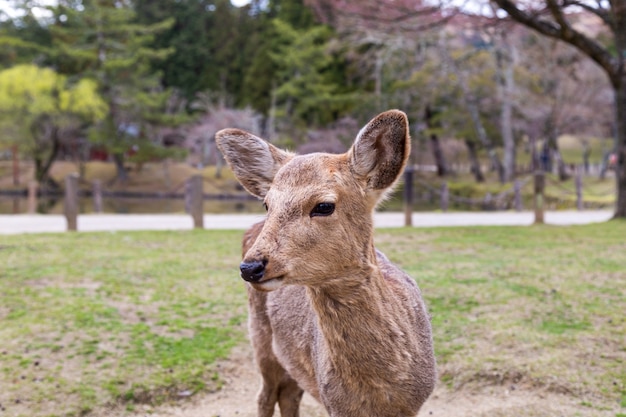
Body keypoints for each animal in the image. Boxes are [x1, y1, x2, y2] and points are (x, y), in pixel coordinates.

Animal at [217, 109, 436, 414]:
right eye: (267, 203)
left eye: (324, 206)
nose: (251, 267)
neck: (380, 393)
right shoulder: (334, 403)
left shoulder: (415, 403)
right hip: (259, 337)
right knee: (266, 395)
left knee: (289, 393)